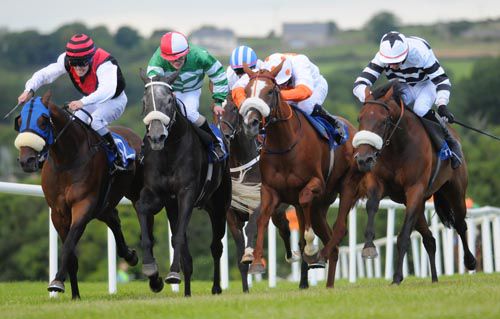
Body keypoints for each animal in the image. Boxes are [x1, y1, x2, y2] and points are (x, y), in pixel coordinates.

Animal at [14, 92, 143, 300]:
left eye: (43, 121)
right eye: (19, 121)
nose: (27, 160)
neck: (67, 160)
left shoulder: (83, 206)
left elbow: (68, 247)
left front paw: (57, 282)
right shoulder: (58, 213)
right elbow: (71, 255)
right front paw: (74, 295)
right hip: (104, 204)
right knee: (114, 219)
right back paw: (130, 255)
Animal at [136, 70, 231, 298]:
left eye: (170, 100)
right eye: (145, 101)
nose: (156, 136)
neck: (169, 152)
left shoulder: (186, 194)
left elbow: (178, 236)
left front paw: (171, 274)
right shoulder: (156, 195)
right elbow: (144, 216)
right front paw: (152, 273)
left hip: (219, 206)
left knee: (216, 246)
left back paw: (216, 287)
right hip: (174, 208)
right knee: (187, 256)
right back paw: (186, 291)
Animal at [222, 99, 306, 292]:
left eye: (235, 109)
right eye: (218, 110)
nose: (224, 134)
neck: (241, 167)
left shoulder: (260, 202)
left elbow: (252, 227)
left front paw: (250, 255)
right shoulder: (231, 214)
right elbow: (239, 244)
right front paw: (245, 289)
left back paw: (303, 279)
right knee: (284, 228)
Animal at [237, 64, 360, 288]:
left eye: (270, 91)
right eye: (248, 91)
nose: (251, 123)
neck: (284, 144)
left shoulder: (316, 184)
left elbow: (304, 202)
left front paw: (310, 249)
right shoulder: (270, 190)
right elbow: (263, 218)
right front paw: (256, 261)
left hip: (347, 186)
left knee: (339, 229)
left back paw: (319, 256)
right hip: (321, 206)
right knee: (332, 243)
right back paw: (329, 284)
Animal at [348, 80, 476, 284]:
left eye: (383, 121)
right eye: (360, 118)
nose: (363, 159)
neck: (397, 147)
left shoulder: (415, 189)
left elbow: (403, 236)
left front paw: (397, 277)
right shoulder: (378, 183)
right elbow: (372, 206)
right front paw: (369, 247)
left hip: (455, 191)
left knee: (460, 224)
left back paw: (470, 261)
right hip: (420, 204)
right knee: (430, 239)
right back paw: (434, 278)